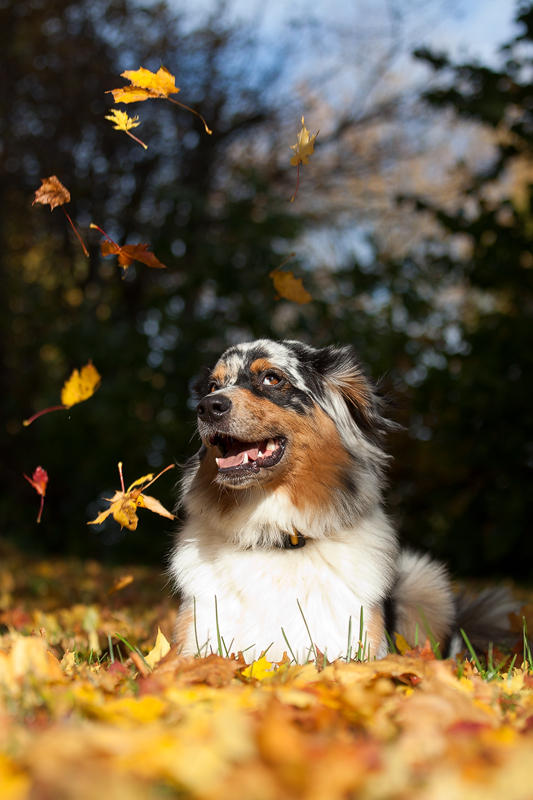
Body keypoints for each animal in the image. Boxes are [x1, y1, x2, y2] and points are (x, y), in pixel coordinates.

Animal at [168, 340, 512, 660]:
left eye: (272, 379)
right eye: (213, 386)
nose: (207, 407)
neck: (275, 532)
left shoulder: (359, 651)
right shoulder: (193, 647)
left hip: (424, 580)